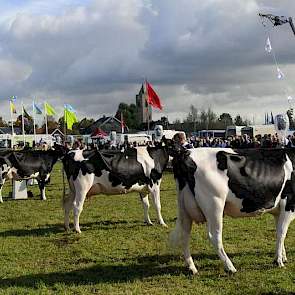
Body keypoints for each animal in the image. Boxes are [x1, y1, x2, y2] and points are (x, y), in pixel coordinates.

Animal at [170, 148, 295, 276]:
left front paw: (283, 257)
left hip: (184, 208)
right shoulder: (289, 204)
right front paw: (278, 261)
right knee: (214, 236)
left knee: (185, 235)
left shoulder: (279, 210)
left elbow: (279, 231)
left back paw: (192, 268)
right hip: (214, 204)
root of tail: (186, 152)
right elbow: (281, 233)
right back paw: (230, 267)